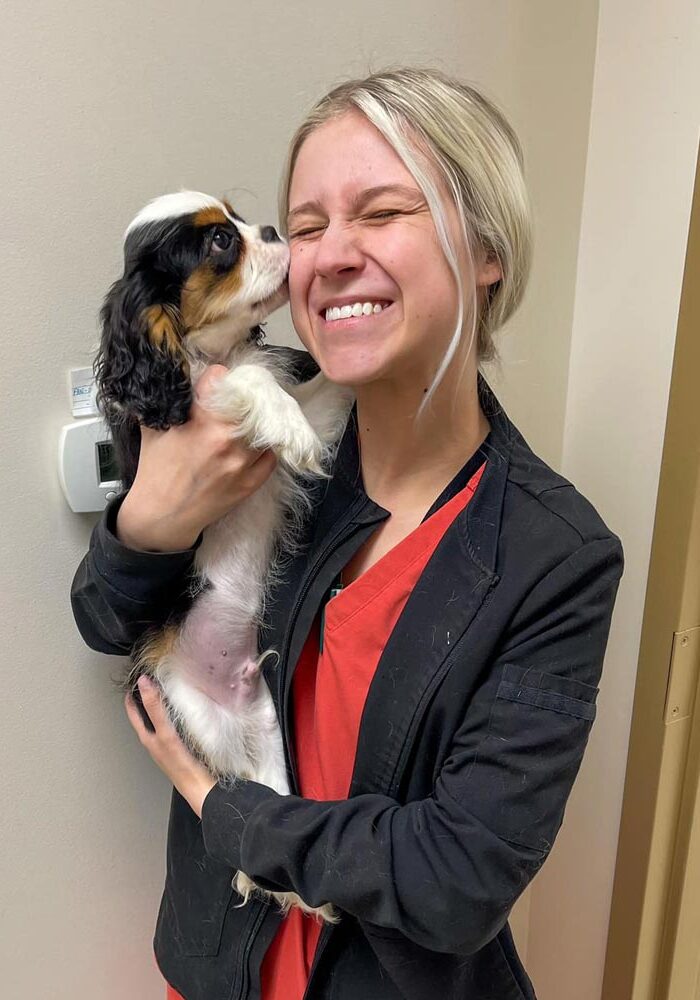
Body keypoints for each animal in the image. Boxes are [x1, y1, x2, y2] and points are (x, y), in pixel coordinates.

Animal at [95, 193, 352, 920]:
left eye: (239, 221)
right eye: (218, 244)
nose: (270, 229)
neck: (207, 348)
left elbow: (322, 394)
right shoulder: (190, 404)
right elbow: (242, 383)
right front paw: (288, 427)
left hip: (269, 729)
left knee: (267, 805)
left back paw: (303, 895)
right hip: (194, 717)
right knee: (226, 786)